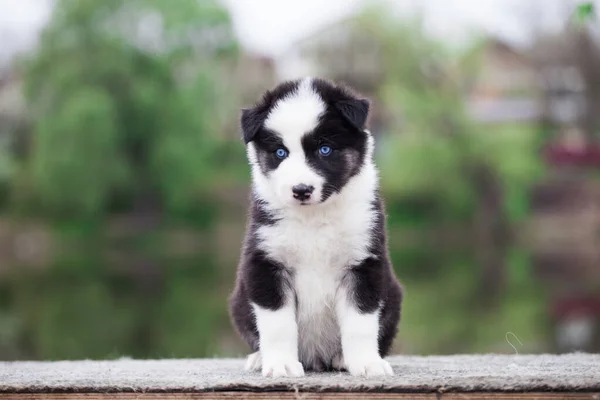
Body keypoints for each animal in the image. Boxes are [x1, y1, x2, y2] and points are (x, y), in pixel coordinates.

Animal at [230, 77, 404, 378]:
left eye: (325, 149)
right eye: (280, 152)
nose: (301, 190)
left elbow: (360, 321)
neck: (313, 218)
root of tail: (317, 360)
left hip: (392, 295)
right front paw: (281, 364)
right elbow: (277, 324)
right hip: (240, 301)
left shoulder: (363, 263)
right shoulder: (266, 262)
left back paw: (342, 358)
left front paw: (367, 363)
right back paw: (259, 358)